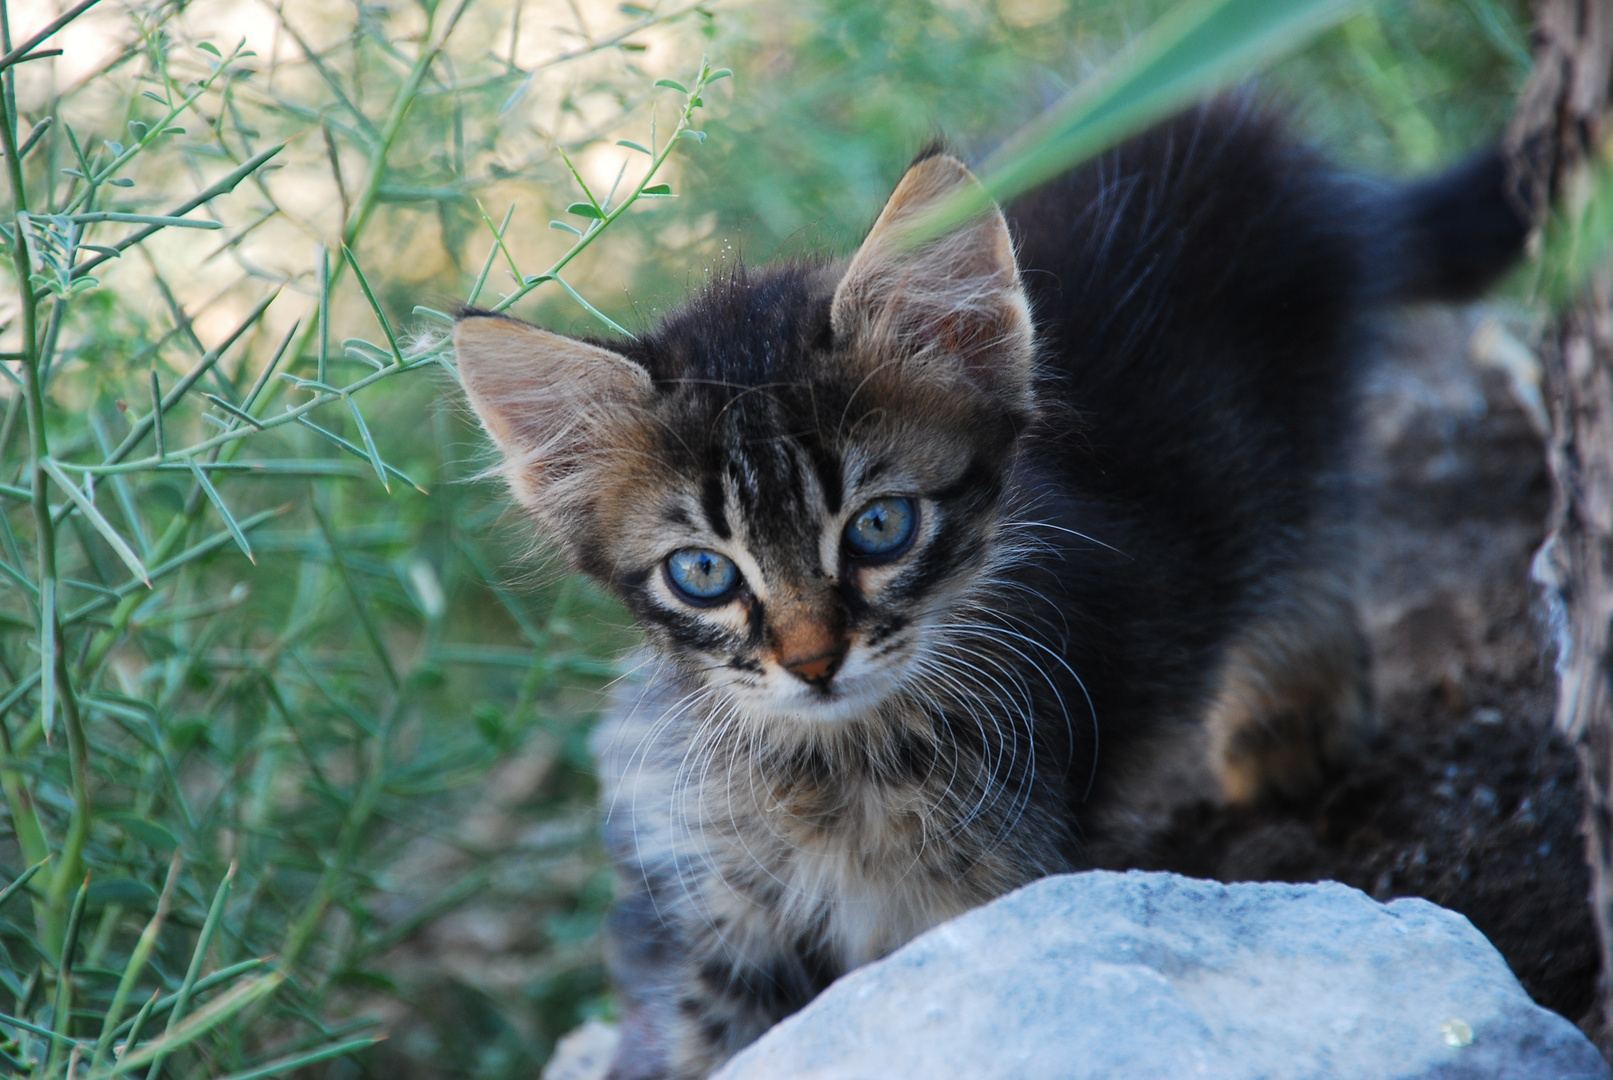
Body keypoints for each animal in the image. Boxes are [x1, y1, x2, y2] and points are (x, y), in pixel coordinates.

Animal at [451, 97, 1522, 1076]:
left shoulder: (984, 894)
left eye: (879, 527)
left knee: (1310, 558)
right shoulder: (698, 907)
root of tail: (1235, 118)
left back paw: (1285, 733)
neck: (830, 767)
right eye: (704, 573)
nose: (812, 662)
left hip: (1294, 445)